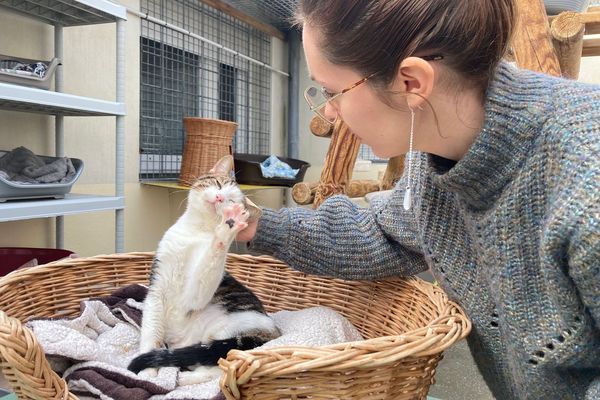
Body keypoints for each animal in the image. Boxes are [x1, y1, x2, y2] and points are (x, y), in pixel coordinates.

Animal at [127, 155, 282, 386]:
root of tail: (275, 333)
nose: (219, 197)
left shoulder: (193, 297)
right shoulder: (157, 288)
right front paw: (148, 372)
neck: (197, 230)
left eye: (232, 203)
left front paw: (227, 230)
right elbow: (151, 331)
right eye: (218, 184)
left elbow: (207, 267)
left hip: (229, 331)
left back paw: (183, 378)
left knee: (223, 368)